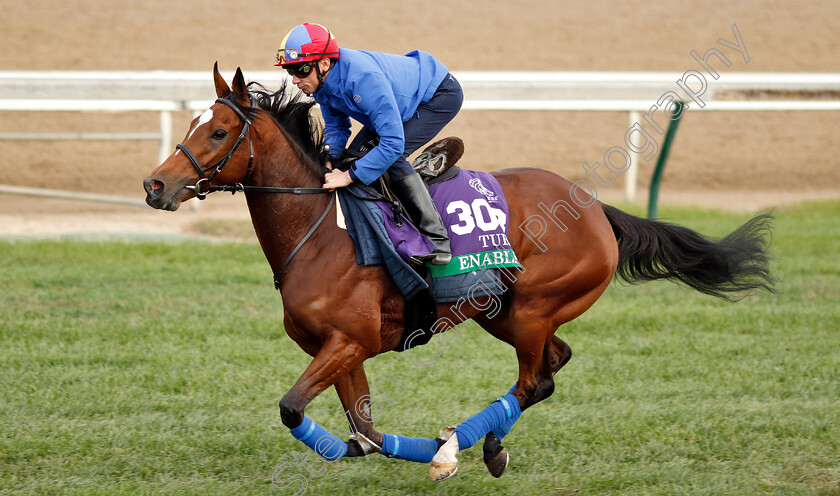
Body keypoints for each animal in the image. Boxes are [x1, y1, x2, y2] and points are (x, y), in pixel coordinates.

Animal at [143, 66, 776, 480]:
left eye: (219, 131)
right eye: (193, 123)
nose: (154, 185)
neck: (319, 231)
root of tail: (596, 207)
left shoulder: (350, 341)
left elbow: (295, 409)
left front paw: (433, 453)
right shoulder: (337, 348)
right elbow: (366, 431)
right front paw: (397, 447)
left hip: (533, 307)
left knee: (535, 381)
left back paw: (472, 447)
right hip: (502, 311)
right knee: (554, 364)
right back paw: (469, 441)